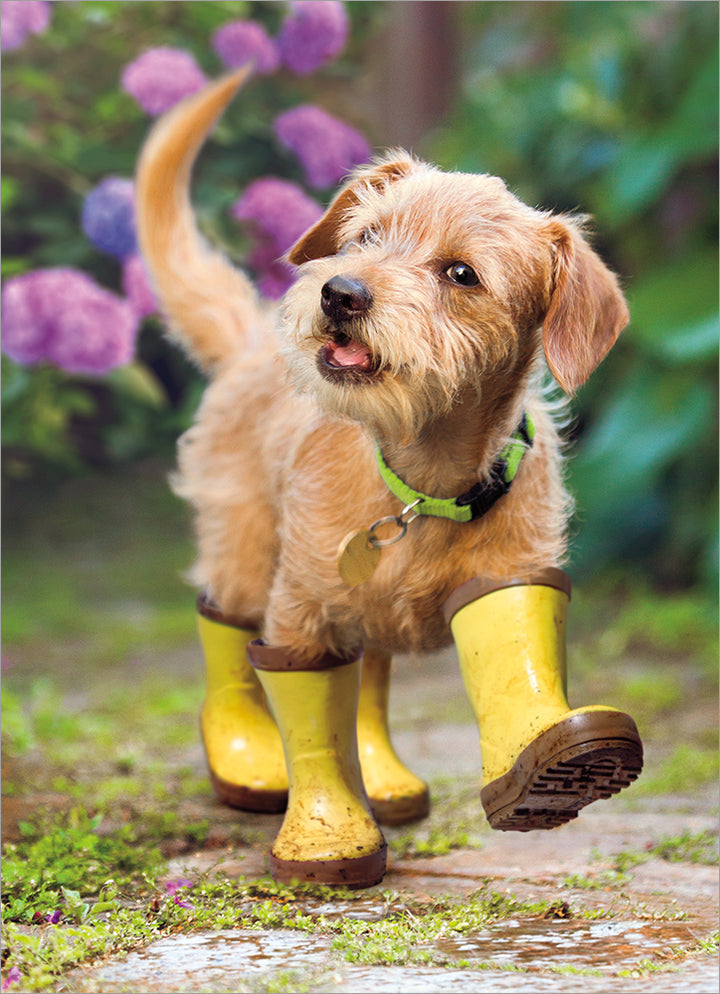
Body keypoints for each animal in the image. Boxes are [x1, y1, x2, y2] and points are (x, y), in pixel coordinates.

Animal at [138, 73, 644, 888]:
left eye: (461, 273)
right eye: (368, 237)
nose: (341, 291)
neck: (422, 480)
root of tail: (249, 342)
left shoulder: (513, 574)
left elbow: (515, 664)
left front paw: (548, 765)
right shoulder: (301, 611)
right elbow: (311, 724)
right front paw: (327, 837)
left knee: (369, 679)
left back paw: (381, 776)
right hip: (245, 554)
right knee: (228, 637)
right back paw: (247, 760)